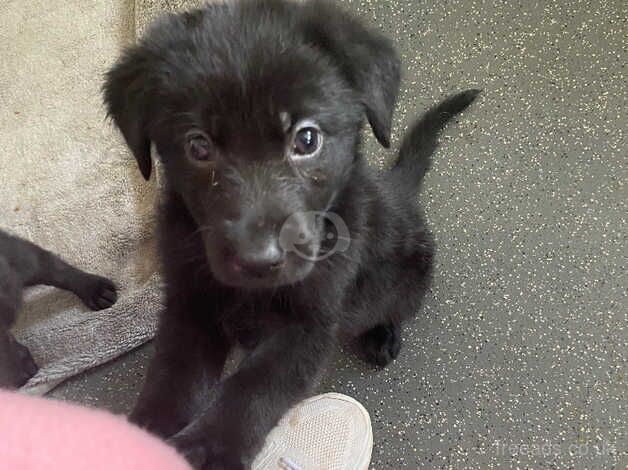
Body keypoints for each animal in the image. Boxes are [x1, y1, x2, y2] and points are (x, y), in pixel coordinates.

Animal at [104, 1, 476, 468]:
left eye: (307, 138)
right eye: (198, 146)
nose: (258, 260)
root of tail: (398, 189)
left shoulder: (310, 326)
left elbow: (253, 388)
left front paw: (210, 448)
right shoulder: (190, 302)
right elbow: (174, 374)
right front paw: (144, 432)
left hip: (405, 280)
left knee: (394, 308)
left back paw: (383, 334)